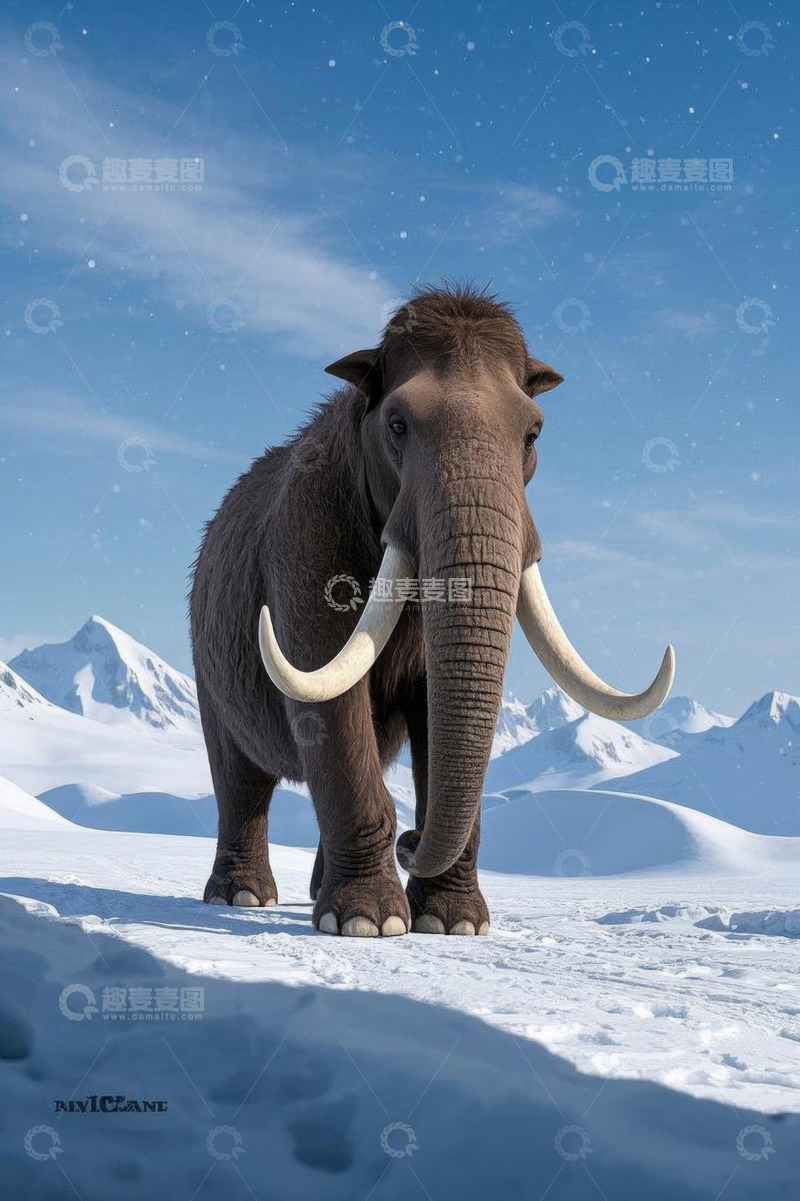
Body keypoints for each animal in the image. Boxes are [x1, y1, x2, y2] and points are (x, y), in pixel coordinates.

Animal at [190, 283, 674, 937]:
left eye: (534, 435)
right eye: (396, 424)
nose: (411, 841)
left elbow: (431, 706)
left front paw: (453, 926)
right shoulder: (305, 538)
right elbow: (330, 702)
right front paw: (367, 925)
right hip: (205, 655)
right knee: (241, 778)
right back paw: (240, 898)